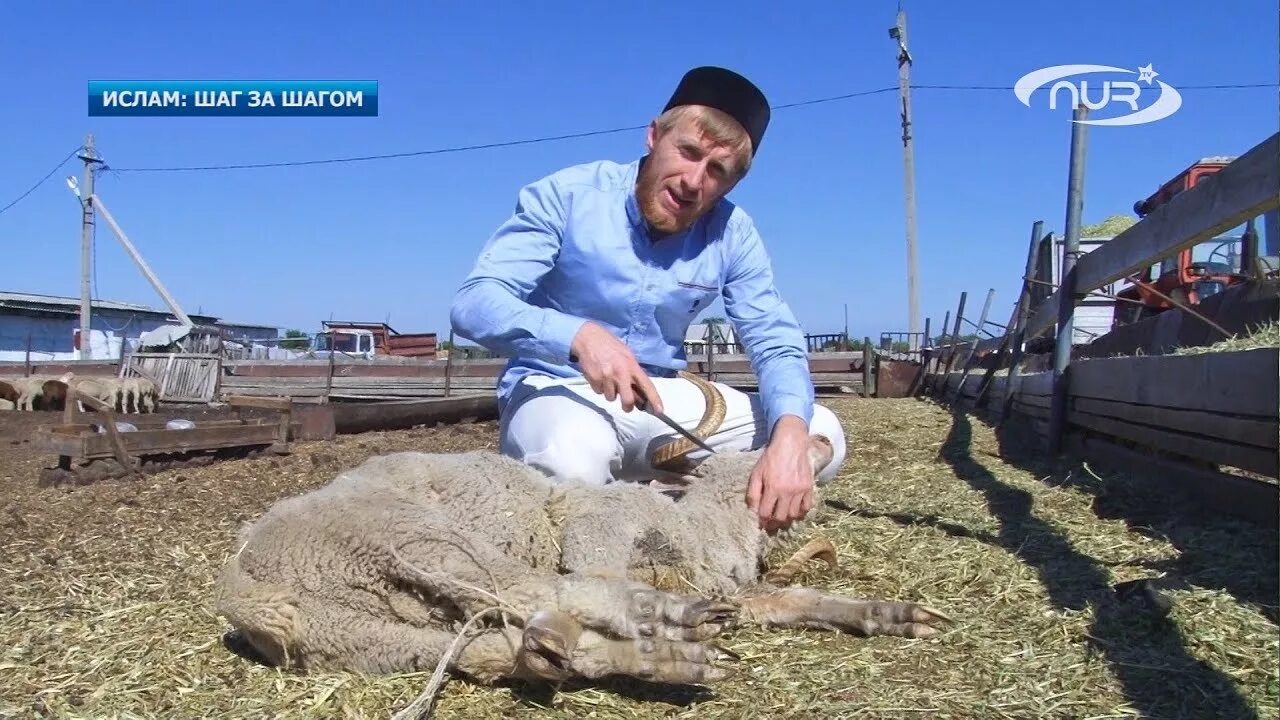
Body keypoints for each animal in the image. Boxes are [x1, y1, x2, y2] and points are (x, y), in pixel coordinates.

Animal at [212, 399, 952, 686]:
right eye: (753, 457)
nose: (818, 441)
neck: (705, 531)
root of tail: (250, 591)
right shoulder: (599, 525)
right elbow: (592, 567)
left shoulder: (732, 584)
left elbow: (794, 599)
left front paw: (892, 615)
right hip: (420, 540)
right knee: (552, 593)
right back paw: (667, 623)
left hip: (370, 639)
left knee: (514, 647)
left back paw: (666, 659)